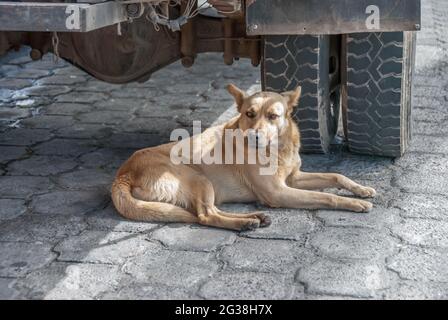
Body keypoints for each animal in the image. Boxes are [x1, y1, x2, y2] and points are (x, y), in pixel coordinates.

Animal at [111, 84, 374, 230]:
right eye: (249, 113)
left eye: (273, 116)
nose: (254, 137)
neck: (276, 150)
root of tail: (123, 173)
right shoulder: (278, 192)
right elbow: (327, 197)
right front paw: (354, 203)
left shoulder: (294, 178)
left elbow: (336, 175)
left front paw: (361, 190)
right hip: (199, 179)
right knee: (205, 216)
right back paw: (244, 223)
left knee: (208, 212)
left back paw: (254, 218)